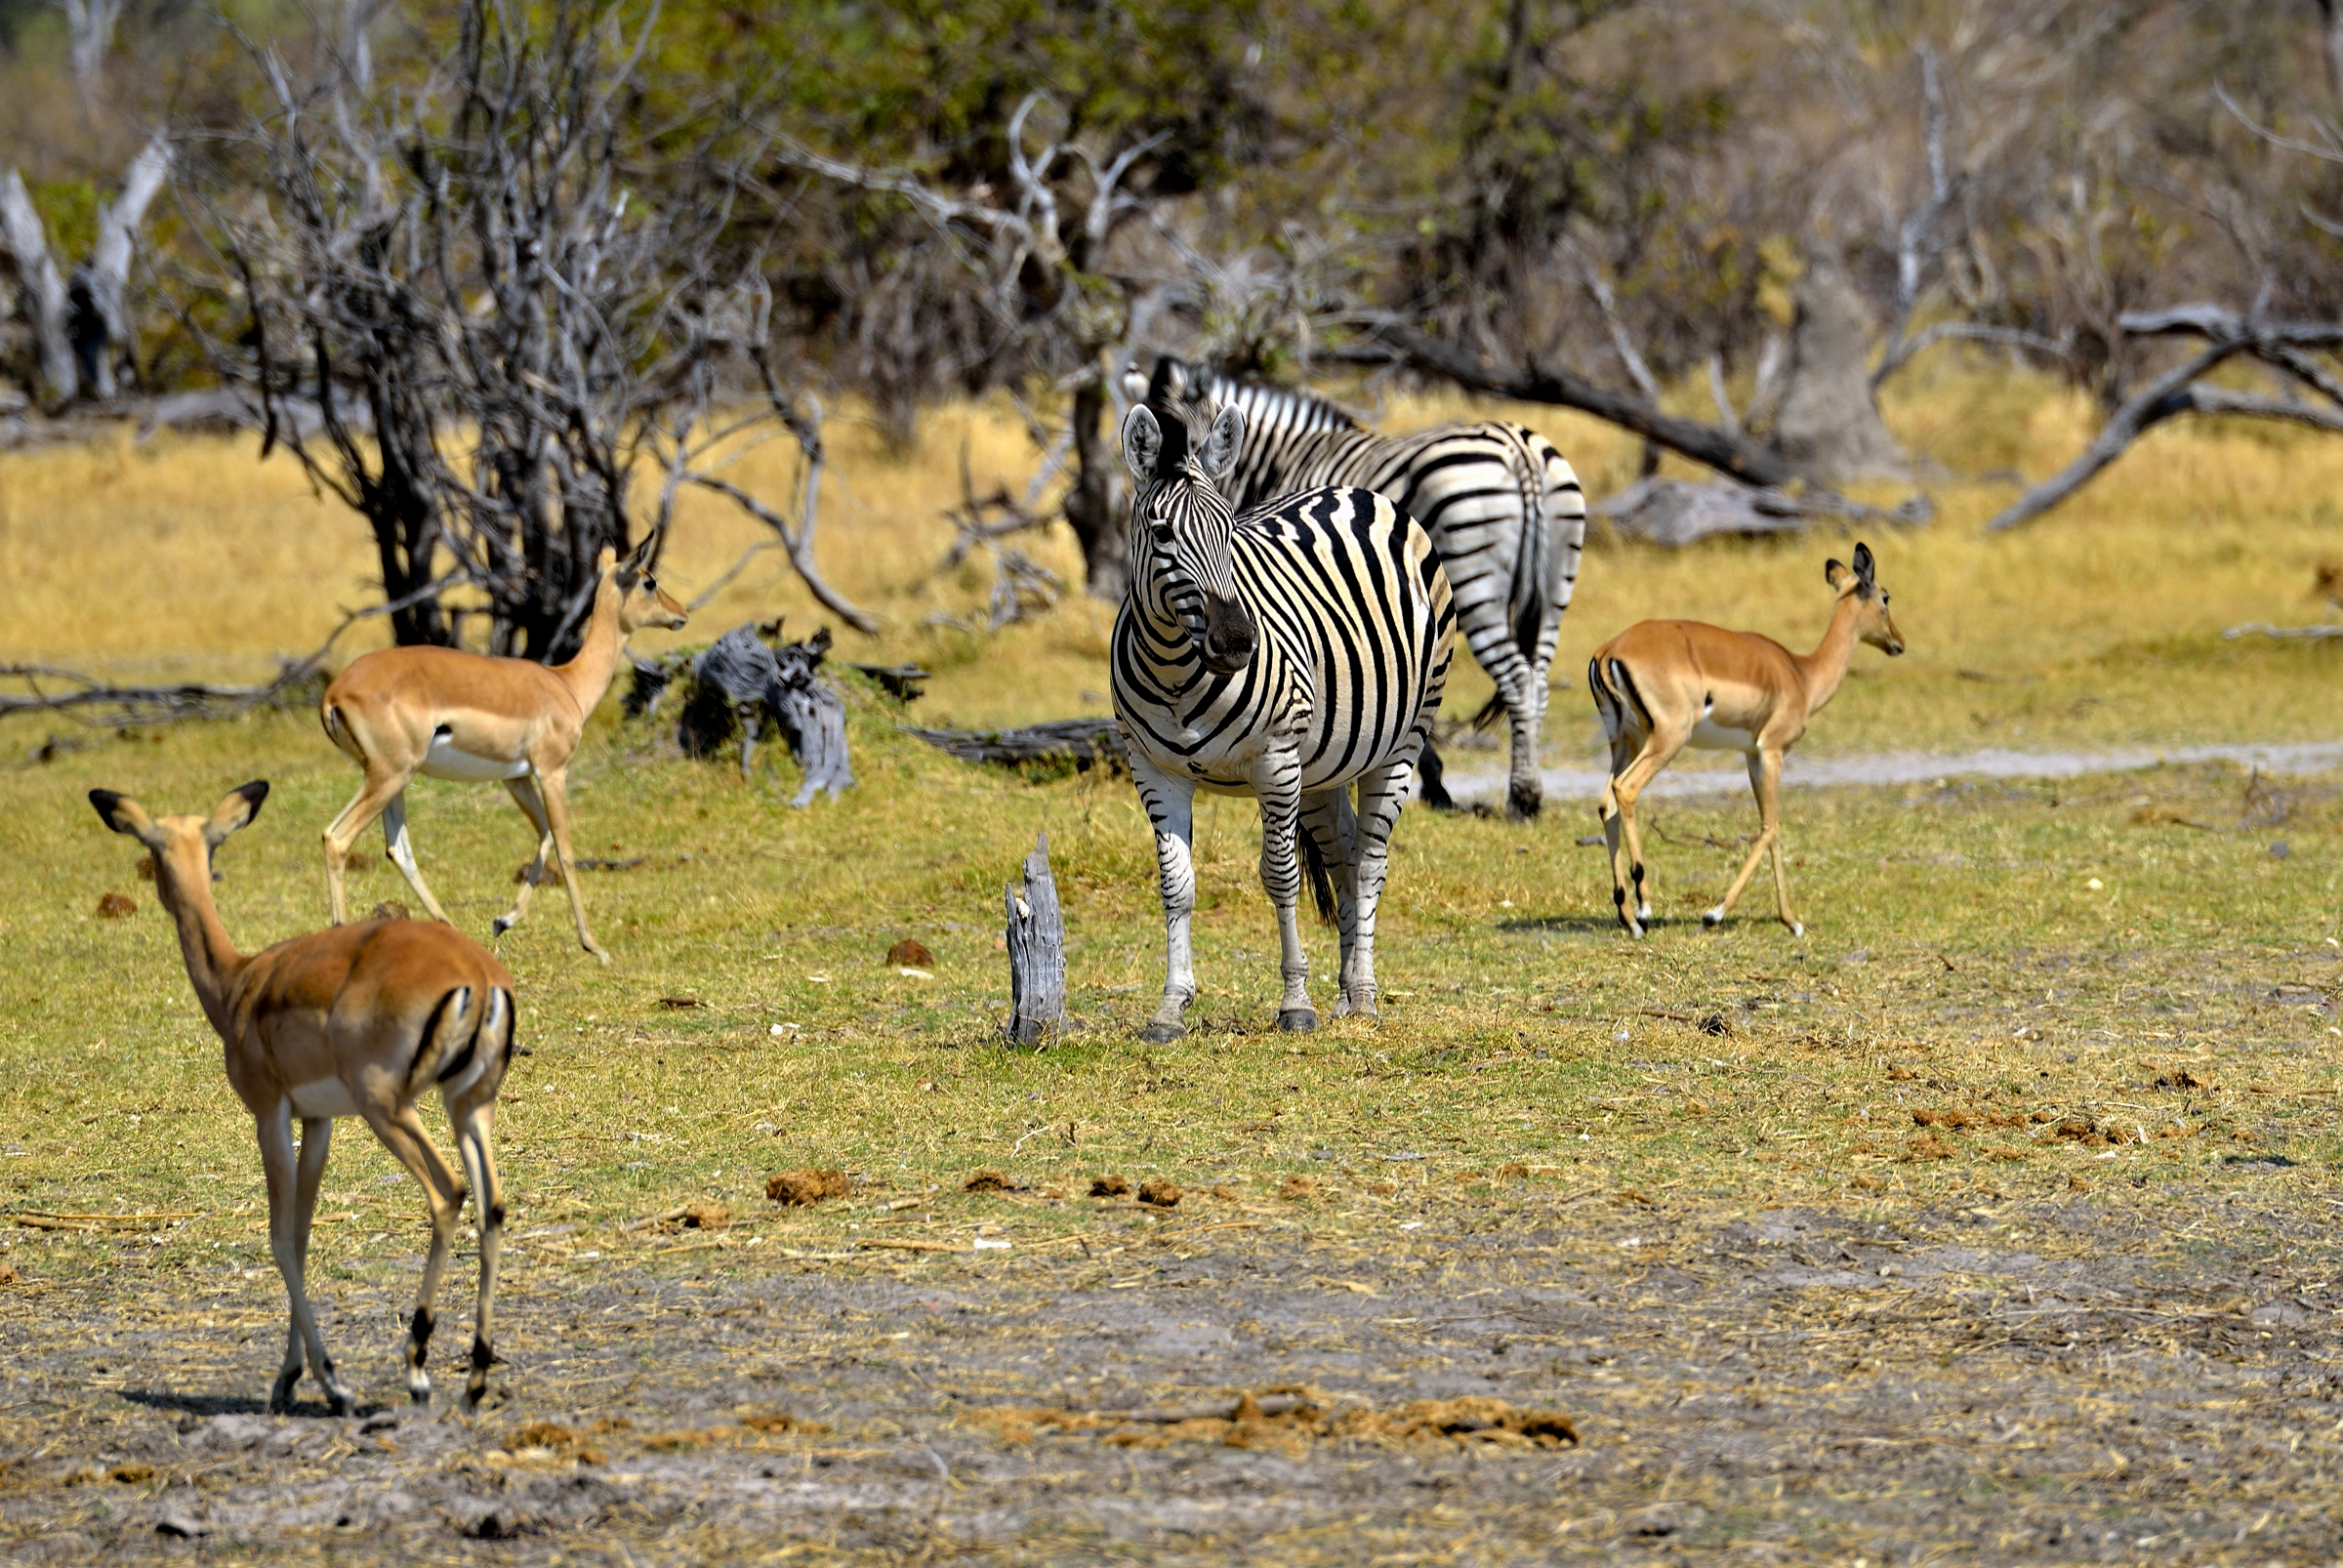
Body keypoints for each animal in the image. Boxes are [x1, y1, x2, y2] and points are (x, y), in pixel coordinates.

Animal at [89, 781, 516, 1414]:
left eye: (153, 847)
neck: (238, 985)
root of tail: (479, 977)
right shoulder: (319, 1121)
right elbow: (305, 1231)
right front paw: (290, 1376)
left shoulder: (270, 1114)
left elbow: (280, 1237)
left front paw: (328, 1380)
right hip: (468, 1106)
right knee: (492, 1206)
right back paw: (476, 1379)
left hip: (389, 1108)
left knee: (447, 1194)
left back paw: (417, 1370)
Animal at [319, 536, 688, 962]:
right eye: (648, 581)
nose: (681, 613)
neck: (566, 684)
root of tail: (334, 692)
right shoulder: (552, 771)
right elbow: (565, 847)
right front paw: (594, 945)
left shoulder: (517, 778)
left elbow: (544, 836)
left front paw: (503, 921)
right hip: (389, 776)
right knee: (337, 839)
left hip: (393, 779)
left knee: (396, 849)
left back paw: (450, 930)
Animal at [1588, 542, 1904, 938]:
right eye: (1885, 597)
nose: (1899, 643)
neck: (1802, 674)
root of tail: (1610, 650)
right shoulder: (1772, 752)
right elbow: (1771, 827)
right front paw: (1716, 913)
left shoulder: (1752, 754)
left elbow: (1771, 828)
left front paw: (1790, 920)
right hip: (1666, 740)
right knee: (1625, 791)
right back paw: (1645, 908)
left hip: (1625, 742)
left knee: (1606, 804)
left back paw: (1628, 916)